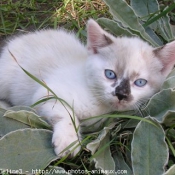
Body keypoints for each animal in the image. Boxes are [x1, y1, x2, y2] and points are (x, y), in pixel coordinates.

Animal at [0, 19, 175, 157]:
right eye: (110, 74)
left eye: (139, 82)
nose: (121, 94)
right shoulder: (46, 93)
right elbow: (67, 113)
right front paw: (68, 142)